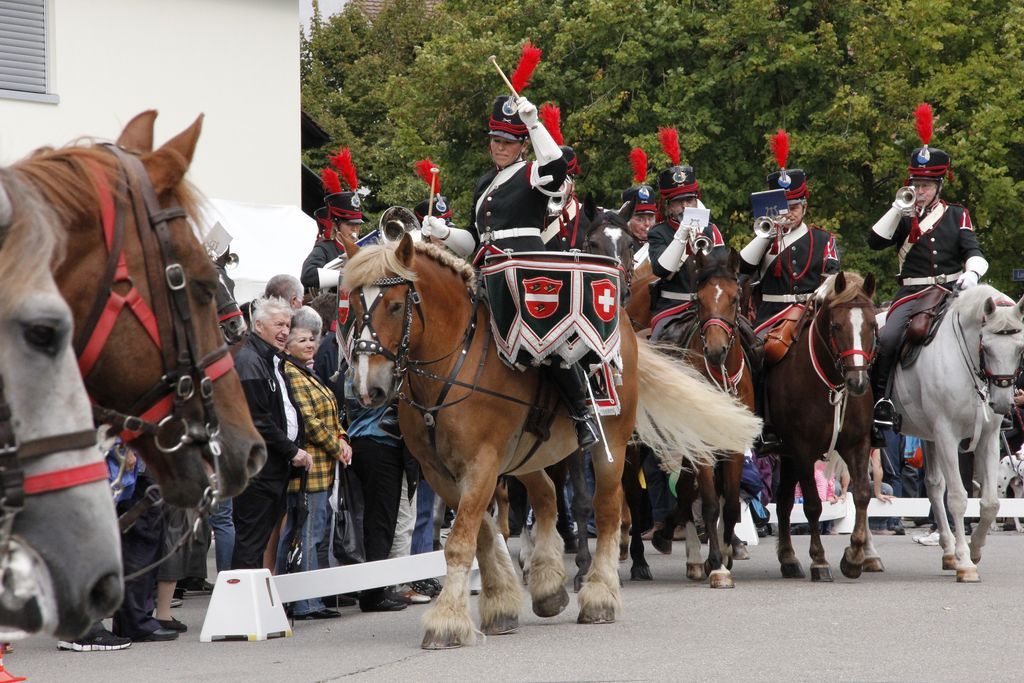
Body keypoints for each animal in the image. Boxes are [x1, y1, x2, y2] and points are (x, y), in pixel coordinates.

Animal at [339, 237, 757, 651]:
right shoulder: (441, 472)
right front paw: (499, 603)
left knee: (607, 511)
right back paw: (548, 586)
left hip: (612, 444)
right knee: (547, 497)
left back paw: (600, 595)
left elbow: (461, 540)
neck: (456, 363)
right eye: (354, 305)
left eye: (395, 306)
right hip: (528, 456)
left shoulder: (482, 464)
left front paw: (446, 622)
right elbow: (481, 534)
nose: (367, 387)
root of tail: (625, 323)